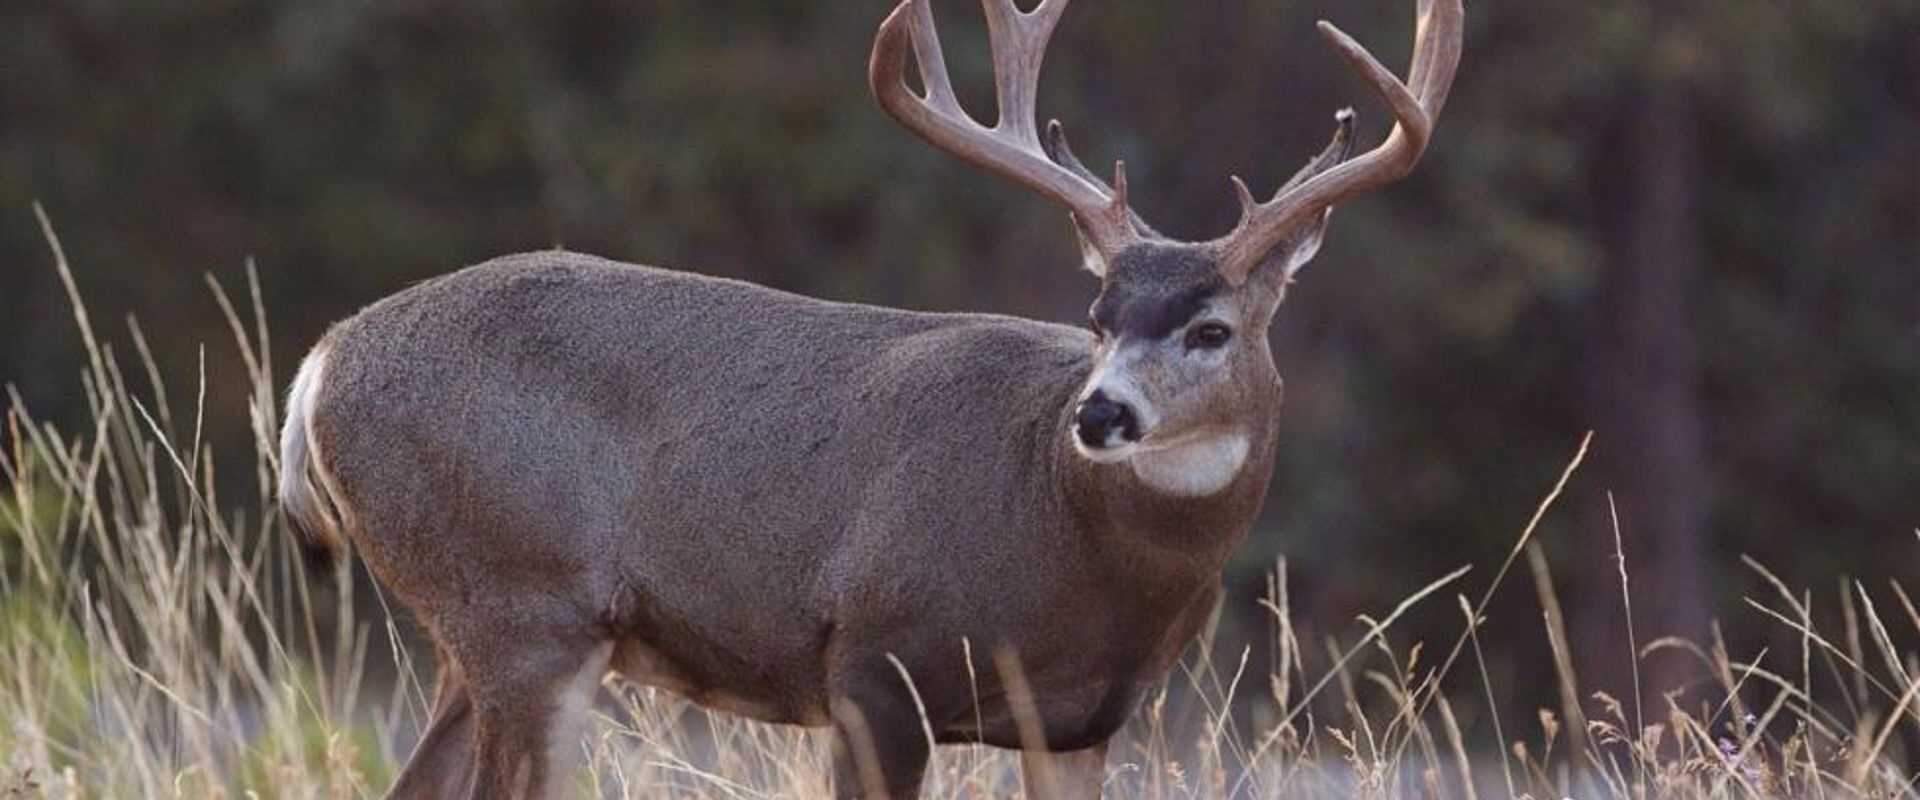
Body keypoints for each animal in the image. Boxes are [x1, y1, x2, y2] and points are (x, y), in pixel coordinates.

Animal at [276, 0, 1461, 797]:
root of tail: (319, 364)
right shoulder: (873, 661)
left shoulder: (1081, 721)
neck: (1062, 528)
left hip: (480, 635)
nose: (1100, 414)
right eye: (1099, 315)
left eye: (1211, 329)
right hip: (523, 604)